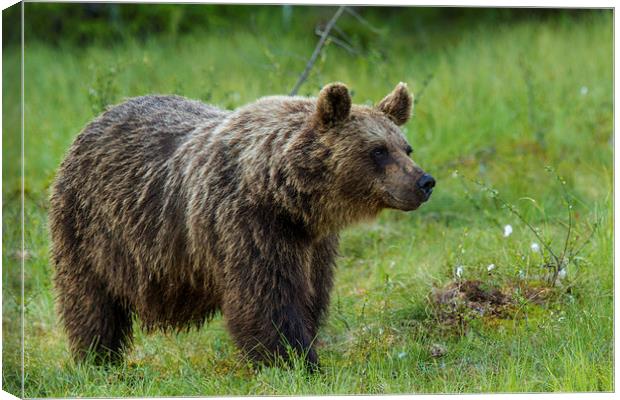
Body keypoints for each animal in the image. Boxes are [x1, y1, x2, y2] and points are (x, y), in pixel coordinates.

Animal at [48, 82, 436, 368]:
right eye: (378, 150)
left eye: (406, 148)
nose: (424, 182)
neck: (285, 193)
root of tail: (98, 118)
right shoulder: (248, 226)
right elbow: (267, 300)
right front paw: (294, 360)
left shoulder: (313, 244)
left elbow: (310, 295)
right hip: (92, 230)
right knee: (90, 300)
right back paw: (98, 358)